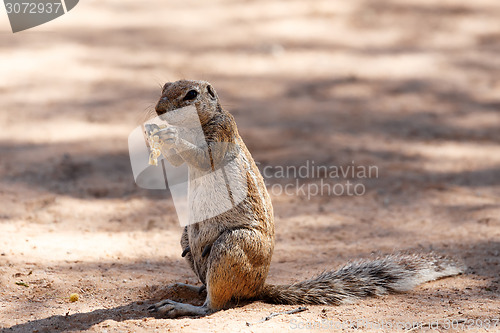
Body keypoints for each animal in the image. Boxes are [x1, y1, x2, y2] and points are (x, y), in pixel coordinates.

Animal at [146, 79, 464, 318]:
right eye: (165, 86)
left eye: (191, 94)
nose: (158, 110)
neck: (197, 124)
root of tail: (258, 288)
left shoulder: (221, 132)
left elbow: (204, 158)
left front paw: (168, 133)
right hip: (191, 245)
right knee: (204, 280)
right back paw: (185, 285)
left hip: (232, 245)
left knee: (216, 304)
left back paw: (180, 305)